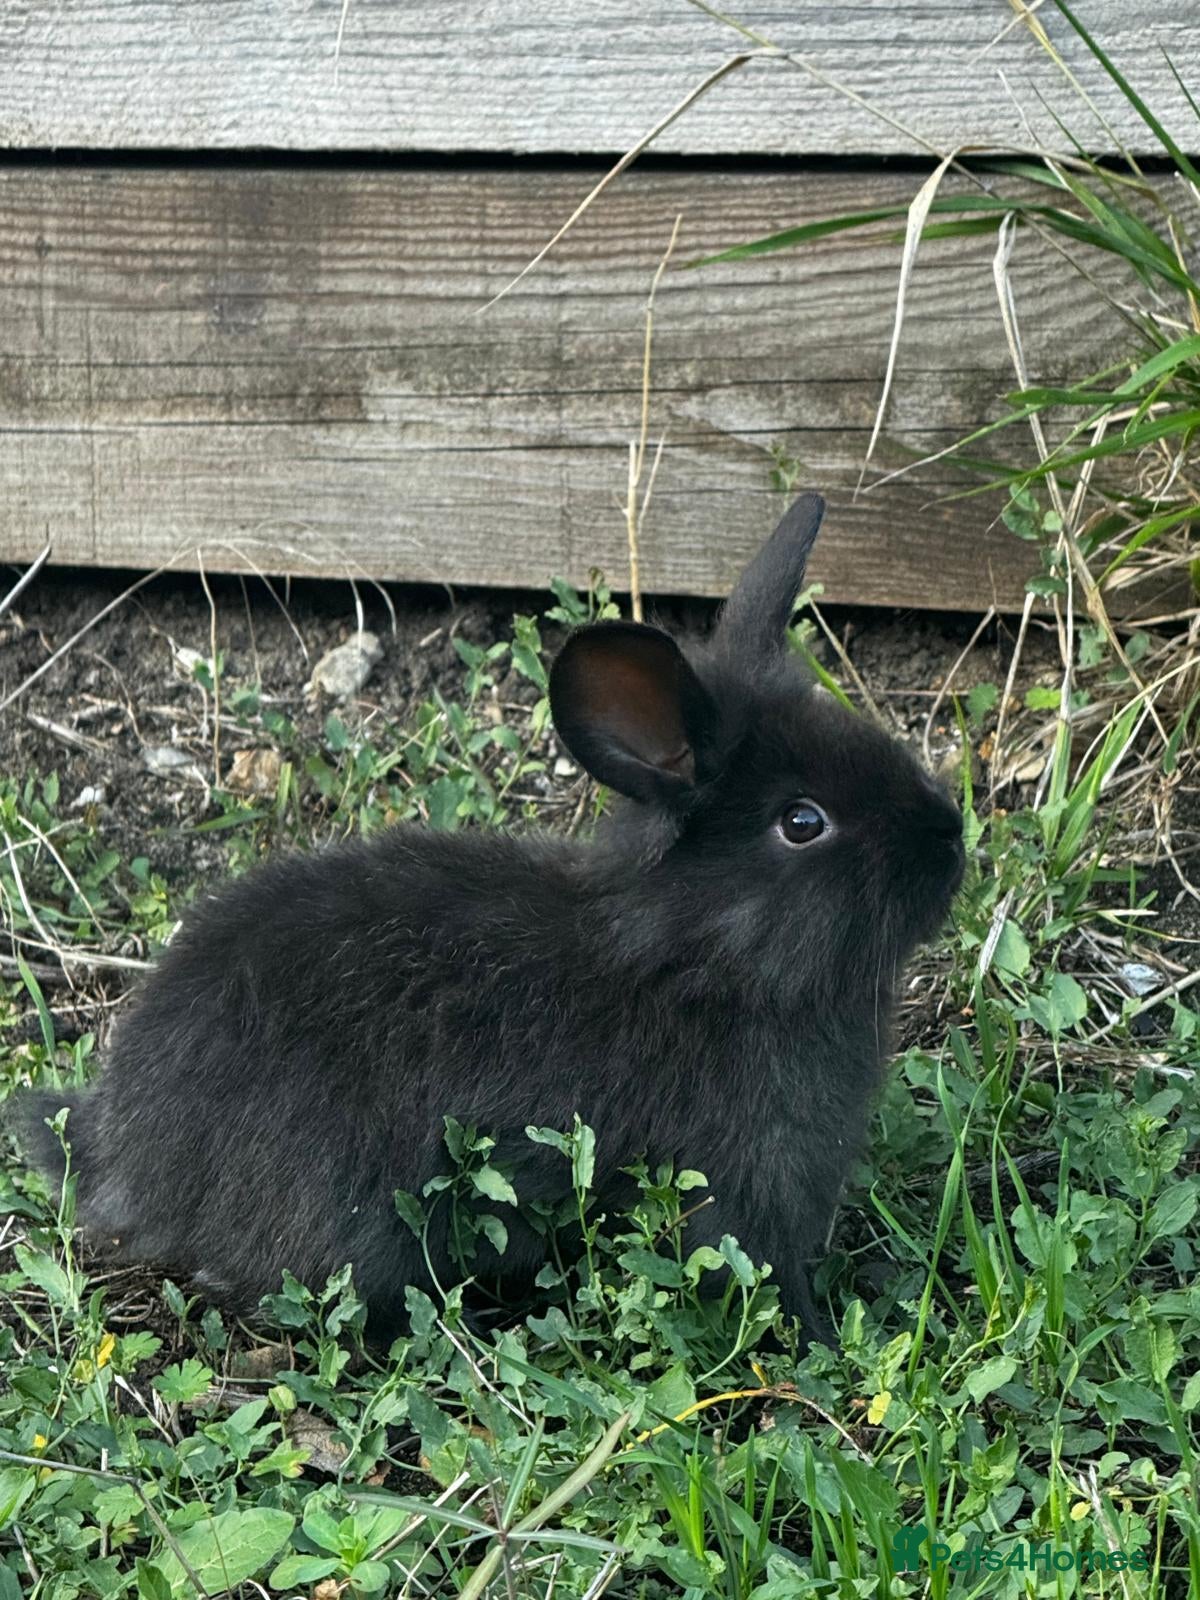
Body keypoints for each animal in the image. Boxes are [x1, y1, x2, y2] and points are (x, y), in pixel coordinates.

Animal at [21, 493, 964, 1345]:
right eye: (803, 822)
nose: (951, 842)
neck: (700, 955)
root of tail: (121, 1152)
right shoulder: (740, 1190)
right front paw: (828, 1344)